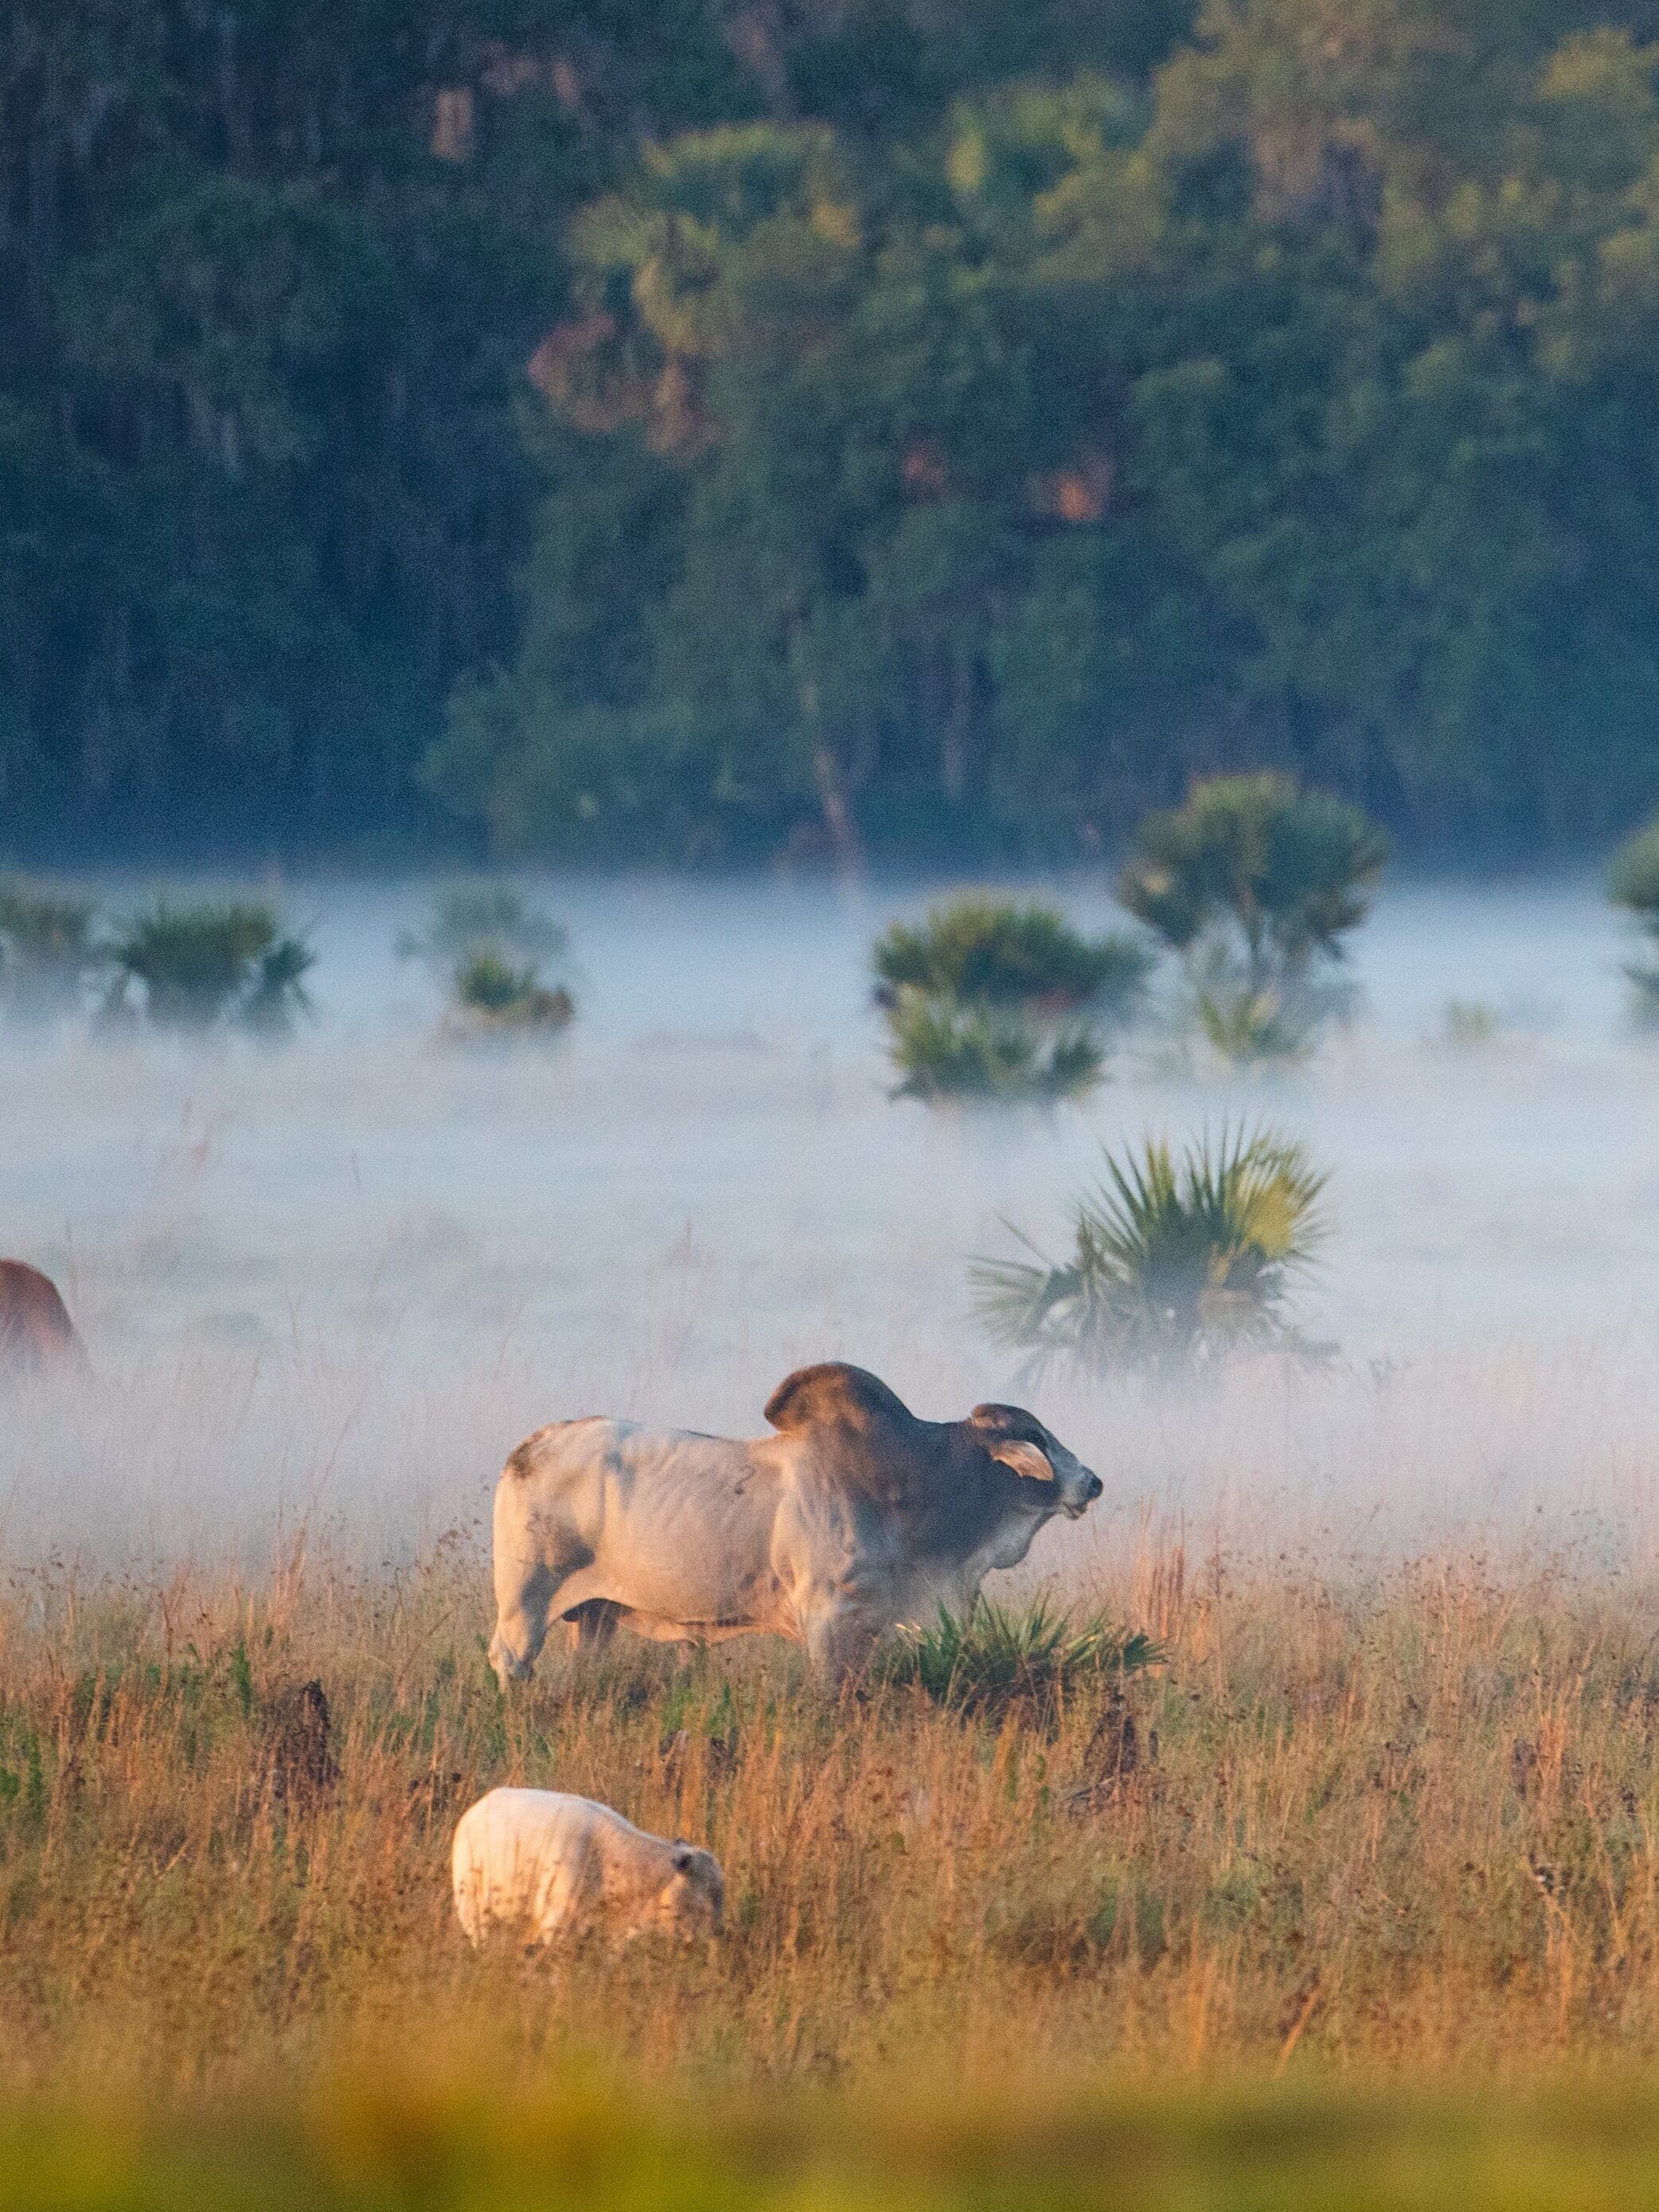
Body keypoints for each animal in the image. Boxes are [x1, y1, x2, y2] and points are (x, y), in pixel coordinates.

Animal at [486, 1354, 1106, 1681]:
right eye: (1037, 1440)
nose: (1093, 1482)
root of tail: (528, 1448)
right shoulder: (827, 1620)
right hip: (524, 1604)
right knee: (510, 1660)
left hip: (595, 1617)